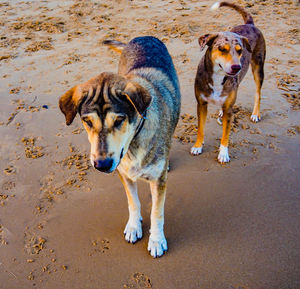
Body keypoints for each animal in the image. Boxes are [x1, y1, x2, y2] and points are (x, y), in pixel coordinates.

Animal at [191, 1, 266, 162]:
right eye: (221, 49)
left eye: (240, 50)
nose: (237, 67)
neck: (218, 77)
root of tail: (250, 24)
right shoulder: (201, 104)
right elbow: (201, 128)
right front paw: (198, 146)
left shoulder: (229, 110)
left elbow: (225, 134)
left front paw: (223, 153)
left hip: (258, 67)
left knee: (258, 92)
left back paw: (255, 113)